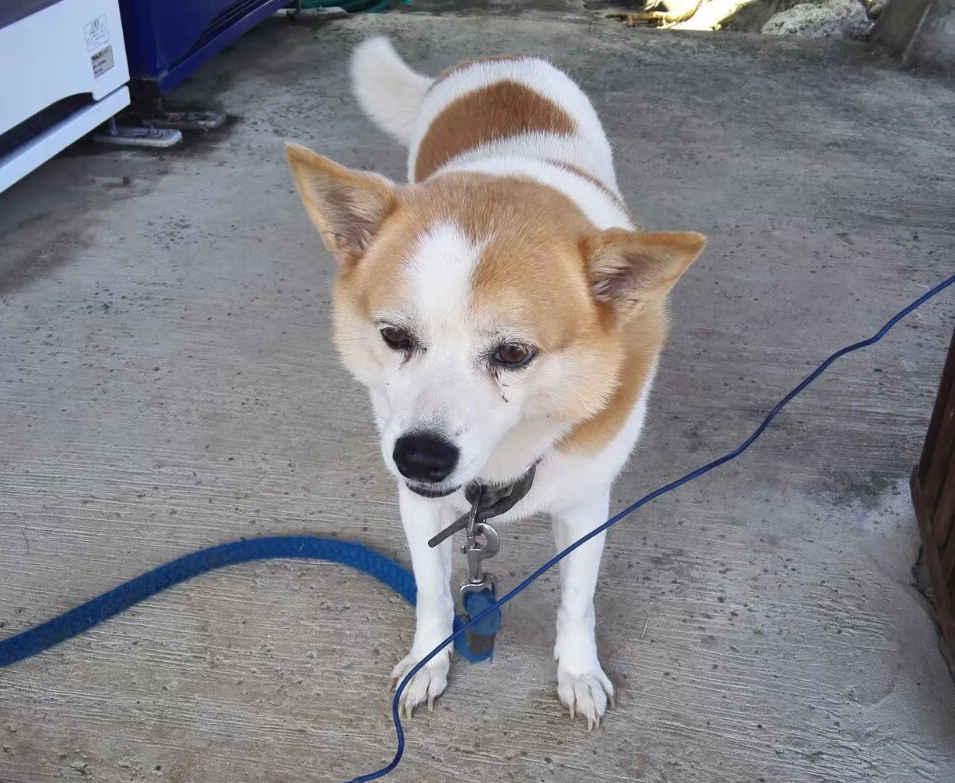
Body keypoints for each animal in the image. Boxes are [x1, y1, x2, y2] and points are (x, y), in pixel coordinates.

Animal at [284, 39, 704, 732]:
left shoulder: (586, 504)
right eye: (394, 336)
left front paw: (578, 671)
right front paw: (428, 661)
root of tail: (496, 59)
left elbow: (577, 599)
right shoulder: (420, 505)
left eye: (513, 353)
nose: (419, 458)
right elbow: (431, 593)